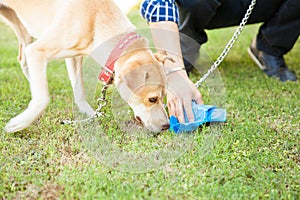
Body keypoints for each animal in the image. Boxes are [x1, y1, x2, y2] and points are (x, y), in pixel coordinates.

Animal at [0, 1, 169, 134]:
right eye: (152, 99)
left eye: (164, 96)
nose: (166, 126)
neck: (95, 17)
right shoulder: (37, 51)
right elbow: (43, 98)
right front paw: (21, 122)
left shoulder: (74, 56)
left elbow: (79, 88)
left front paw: (89, 113)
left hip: (21, 25)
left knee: (23, 59)